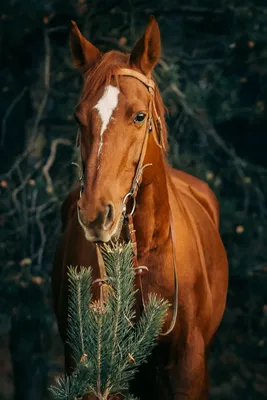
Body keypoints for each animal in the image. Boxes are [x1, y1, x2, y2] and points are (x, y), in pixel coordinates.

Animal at [51, 17, 228, 398]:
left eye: (139, 115)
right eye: (78, 118)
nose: (95, 214)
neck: (145, 251)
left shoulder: (189, 367)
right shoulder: (92, 367)